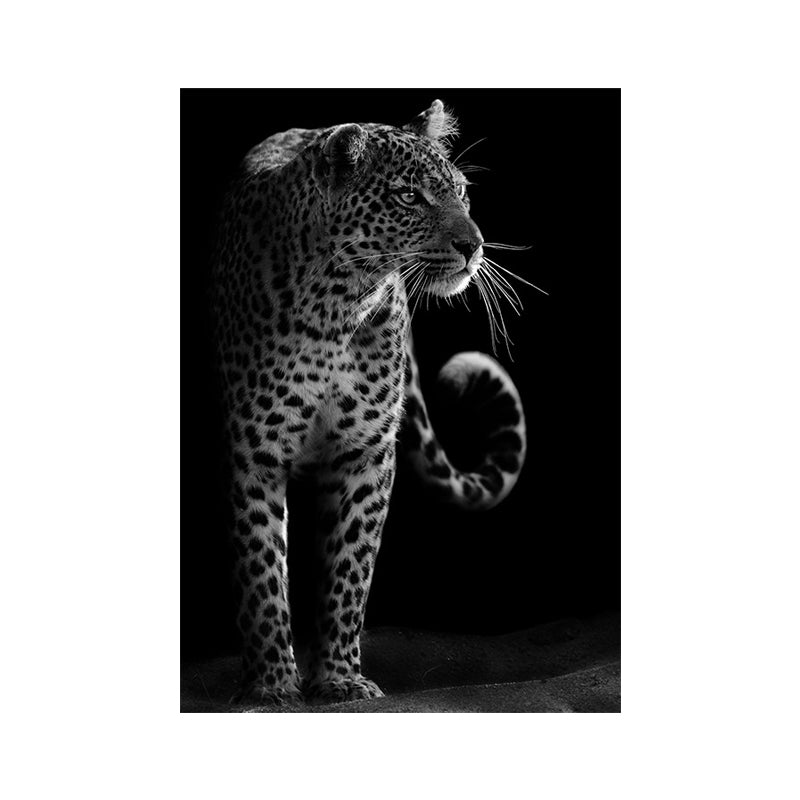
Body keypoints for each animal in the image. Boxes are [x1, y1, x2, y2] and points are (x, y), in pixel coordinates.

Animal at [211, 99, 527, 707]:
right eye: (409, 197)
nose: (474, 245)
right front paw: (271, 684)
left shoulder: (366, 453)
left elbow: (349, 568)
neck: (337, 303)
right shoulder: (255, 451)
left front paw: (338, 677)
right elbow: (261, 569)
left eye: (461, 192)